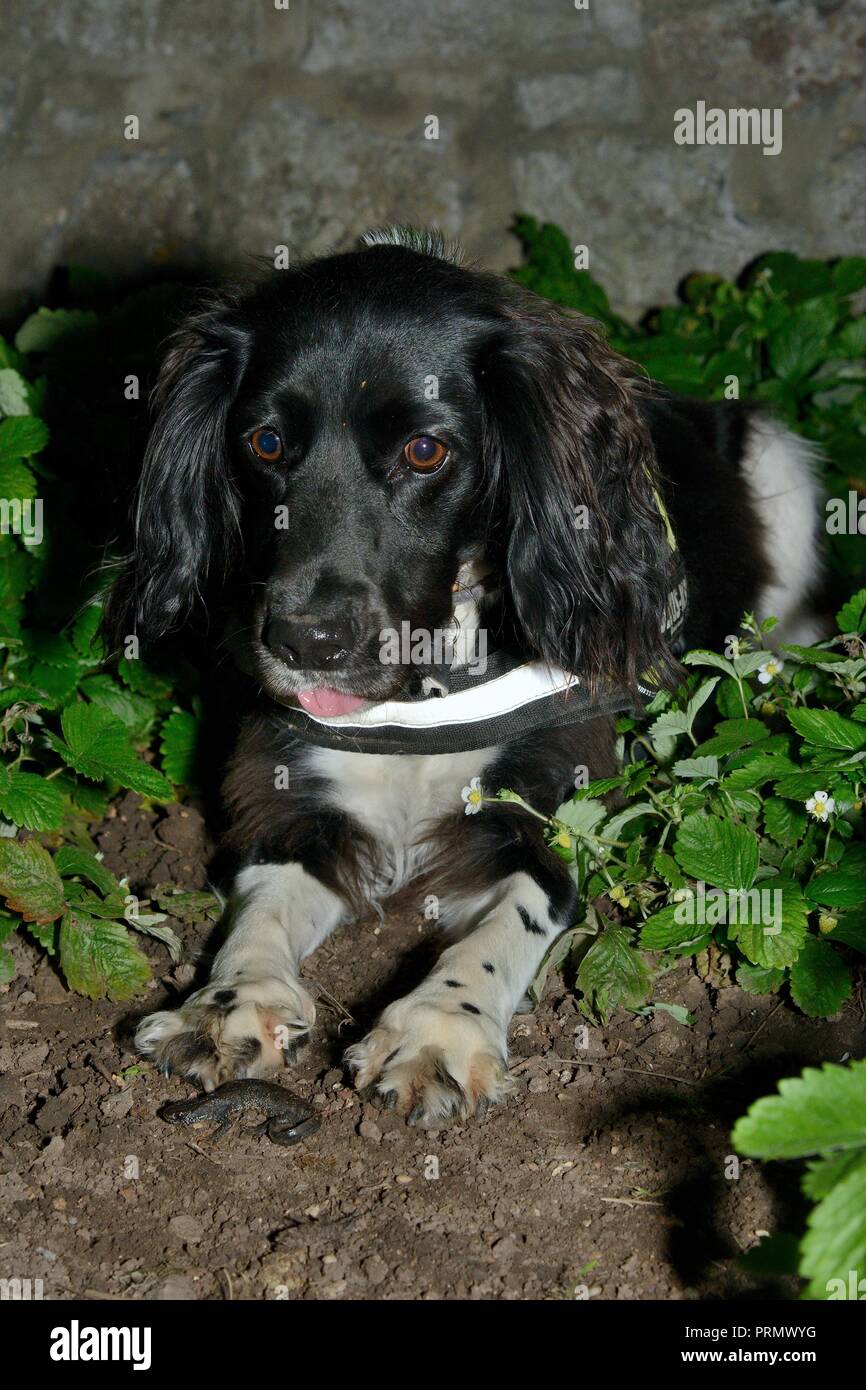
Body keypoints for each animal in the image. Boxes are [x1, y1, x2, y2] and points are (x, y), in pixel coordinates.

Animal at [111, 227, 822, 1128]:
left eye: (426, 451)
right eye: (263, 444)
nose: (304, 640)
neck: (422, 692)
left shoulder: (553, 815)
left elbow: (502, 927)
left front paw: (438, 1032)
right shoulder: (291, 799)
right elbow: (259, 912)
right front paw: (228, 1006)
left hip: (781, 458)